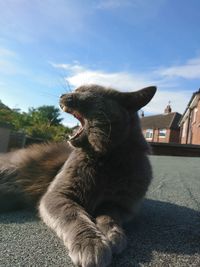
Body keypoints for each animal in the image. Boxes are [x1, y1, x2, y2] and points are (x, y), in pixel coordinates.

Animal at [0, 84, 156, 267]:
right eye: (77, 89)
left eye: (84, 91)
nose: (62, 94)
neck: (104, 158)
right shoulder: (57, 194)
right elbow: (73, 215)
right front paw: (91, 244)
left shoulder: (123, 205)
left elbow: (110, 215)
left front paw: (113, 235)